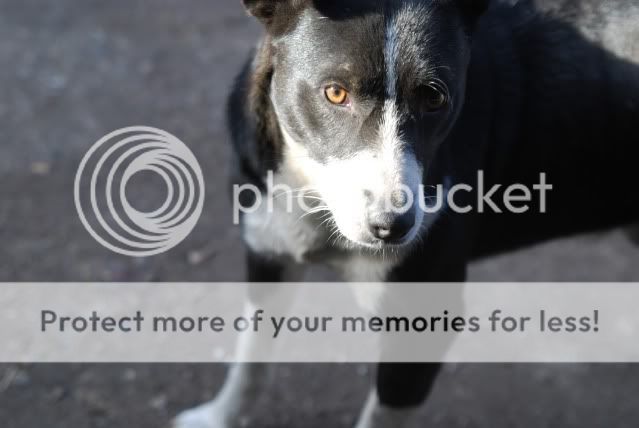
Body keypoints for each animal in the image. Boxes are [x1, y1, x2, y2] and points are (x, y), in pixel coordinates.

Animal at [175, 0, 639, 426]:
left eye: (434, 96)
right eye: (335, 92)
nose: (392, 227)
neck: (317, 202)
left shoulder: (426, 318)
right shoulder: (269, 252)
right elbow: (250, 358)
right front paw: (217, 418)